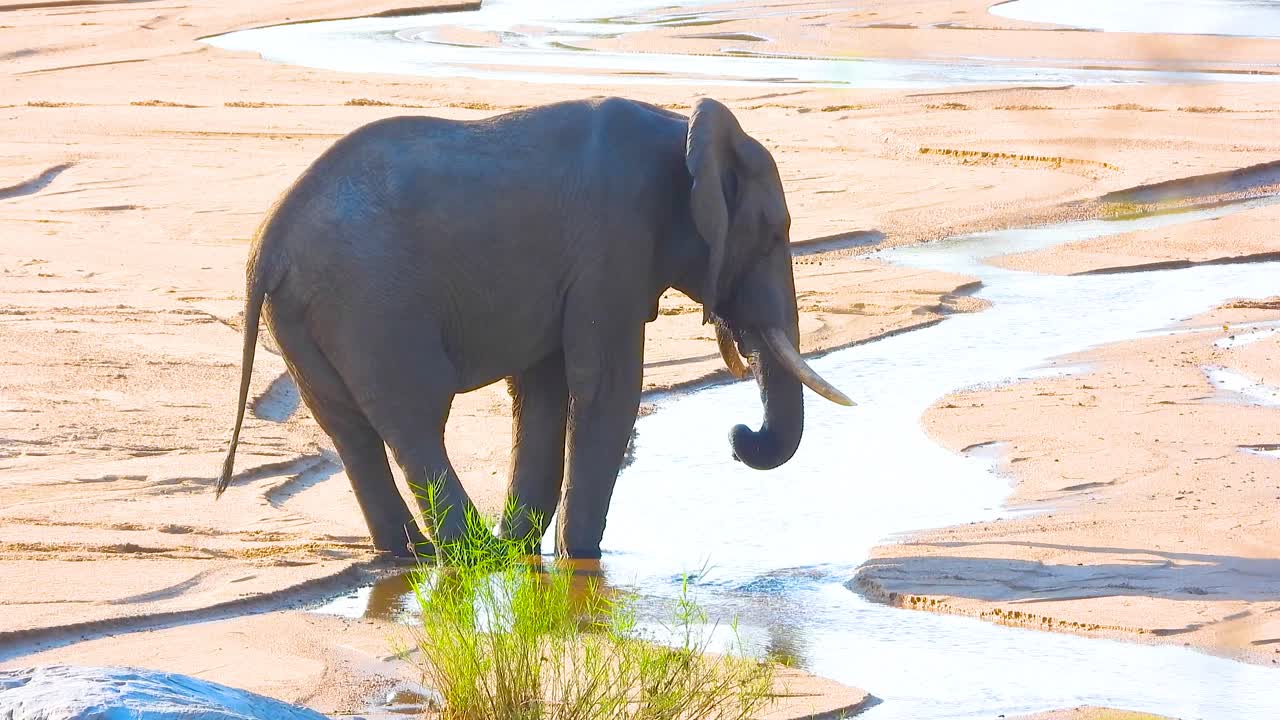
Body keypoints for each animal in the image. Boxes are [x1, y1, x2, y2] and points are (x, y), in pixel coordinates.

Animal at [217, 96, 853, 560]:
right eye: (773, 232)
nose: (739, 437)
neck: (683, 133)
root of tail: (266, 248)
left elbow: (543, 393)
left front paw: (529, 546)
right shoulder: (612, 244)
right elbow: (606, 388)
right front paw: (578, 556)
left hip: (303, 317)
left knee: (352, 432)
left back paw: (416, 556)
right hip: (372, 305)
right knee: (414, 420)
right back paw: (471, 552)